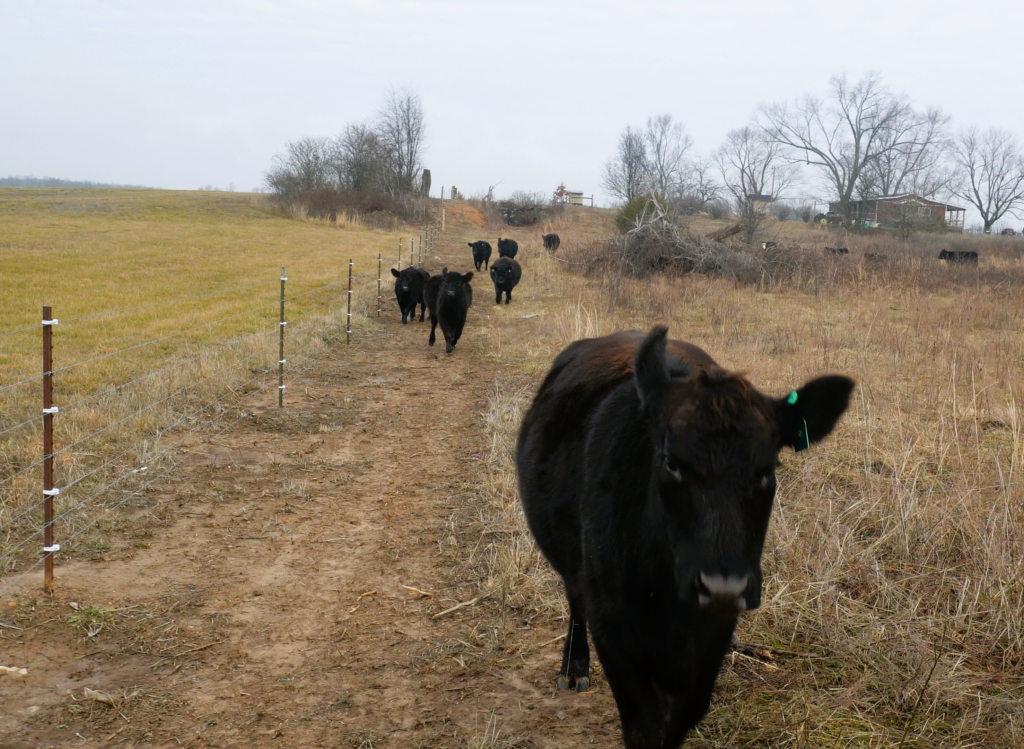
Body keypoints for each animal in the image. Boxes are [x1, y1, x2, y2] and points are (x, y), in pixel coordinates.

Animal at [516, 329, 851, 749]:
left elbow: (682, 717)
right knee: (575, 598)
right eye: (671, 462)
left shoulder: (715, 634)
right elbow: (643, 727)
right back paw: (575, 668)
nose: (723, 587)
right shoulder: (612, 623)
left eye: (767, 470)